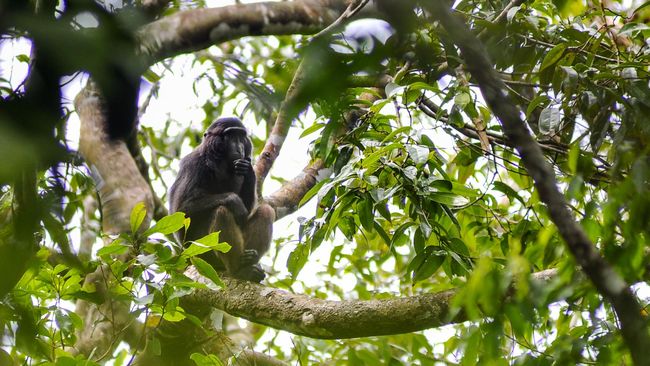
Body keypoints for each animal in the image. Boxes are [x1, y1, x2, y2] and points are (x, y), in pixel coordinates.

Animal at [168, 117, 272, 284]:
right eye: (230, 136)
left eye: (241, 137)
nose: (240, 147)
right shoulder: (193, 163)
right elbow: (181, 210)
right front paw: (234, 200)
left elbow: (249, 209)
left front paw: (248, 168)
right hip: (201, 253)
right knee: (222, 211)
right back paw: (239, 271)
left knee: (266, 210)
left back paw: (249, 262)